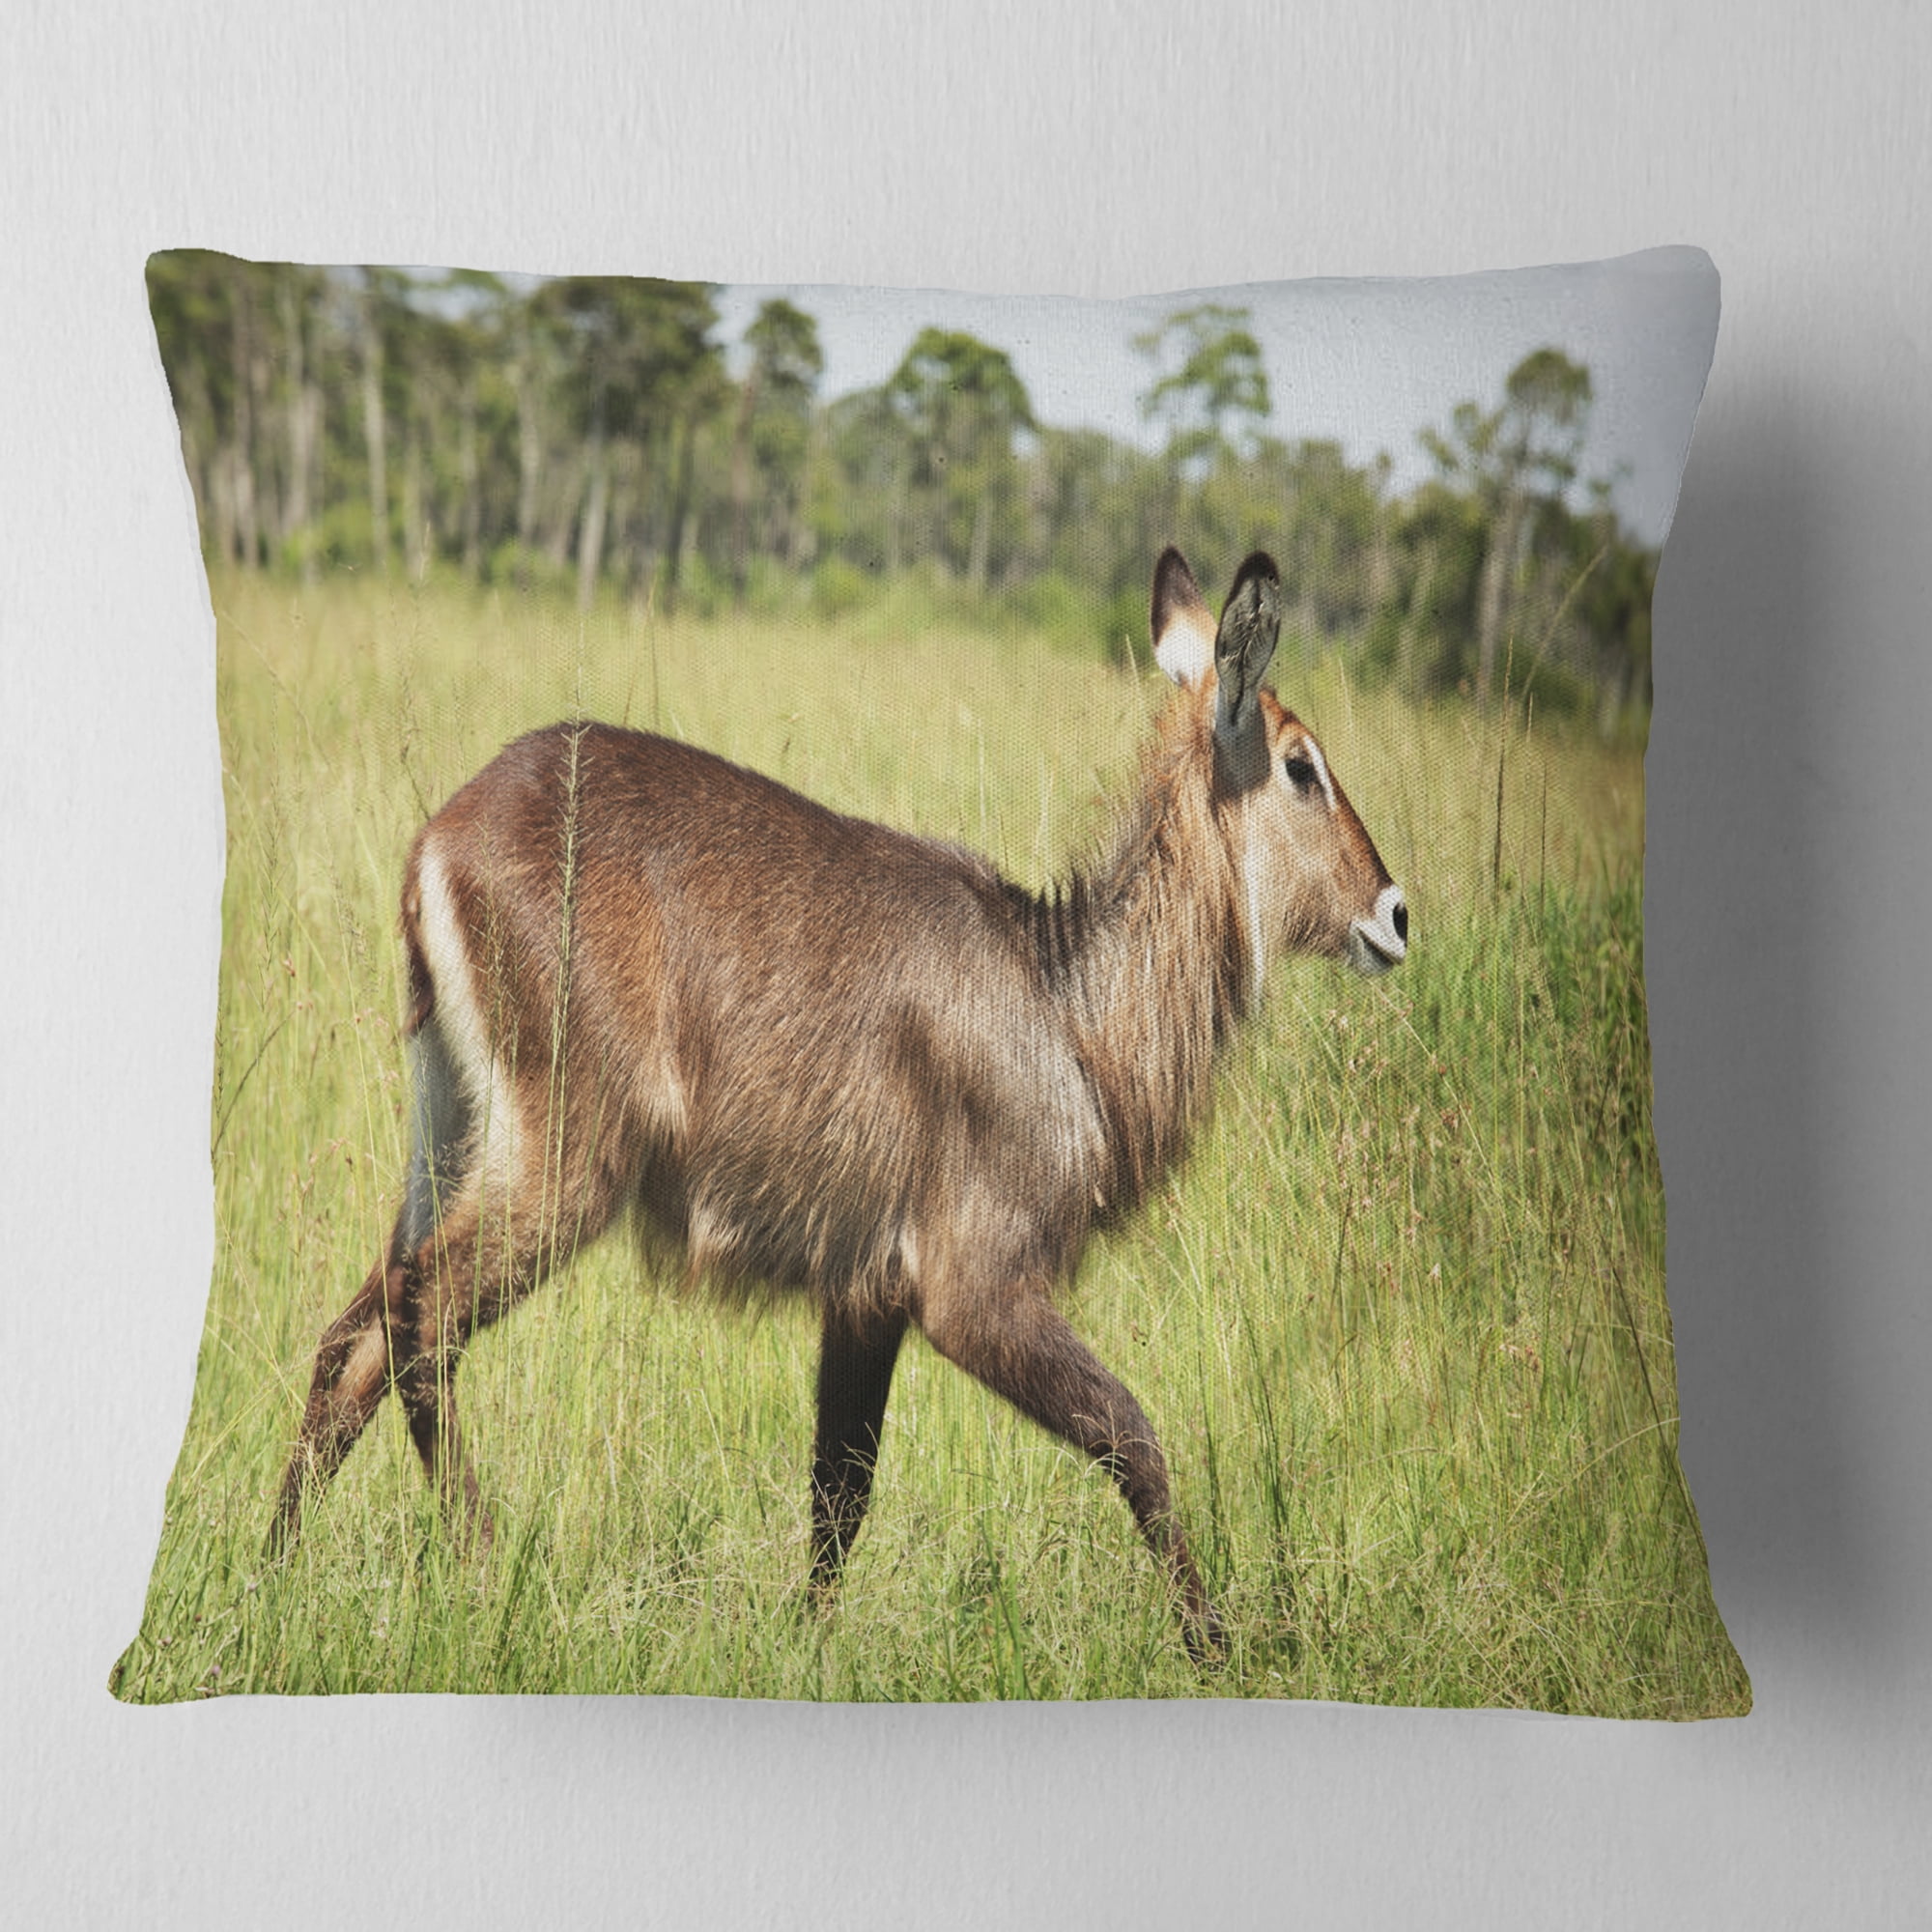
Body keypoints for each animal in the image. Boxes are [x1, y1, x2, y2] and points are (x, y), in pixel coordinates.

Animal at [268, 548, 1407, 1656]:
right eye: (1301, 765)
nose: (1396, 913)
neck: (1069, 1012)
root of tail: (445, 833)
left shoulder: (865, 1297)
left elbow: (839, 1492)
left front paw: (800, 1646)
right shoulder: (971, 1288)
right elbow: (1132, 1433)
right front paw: (1215, 1647)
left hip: (451, 1128)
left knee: (353, 1337)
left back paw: (270, 1568)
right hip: (565, 1163)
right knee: (420, 1320)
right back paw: (482, 1558)